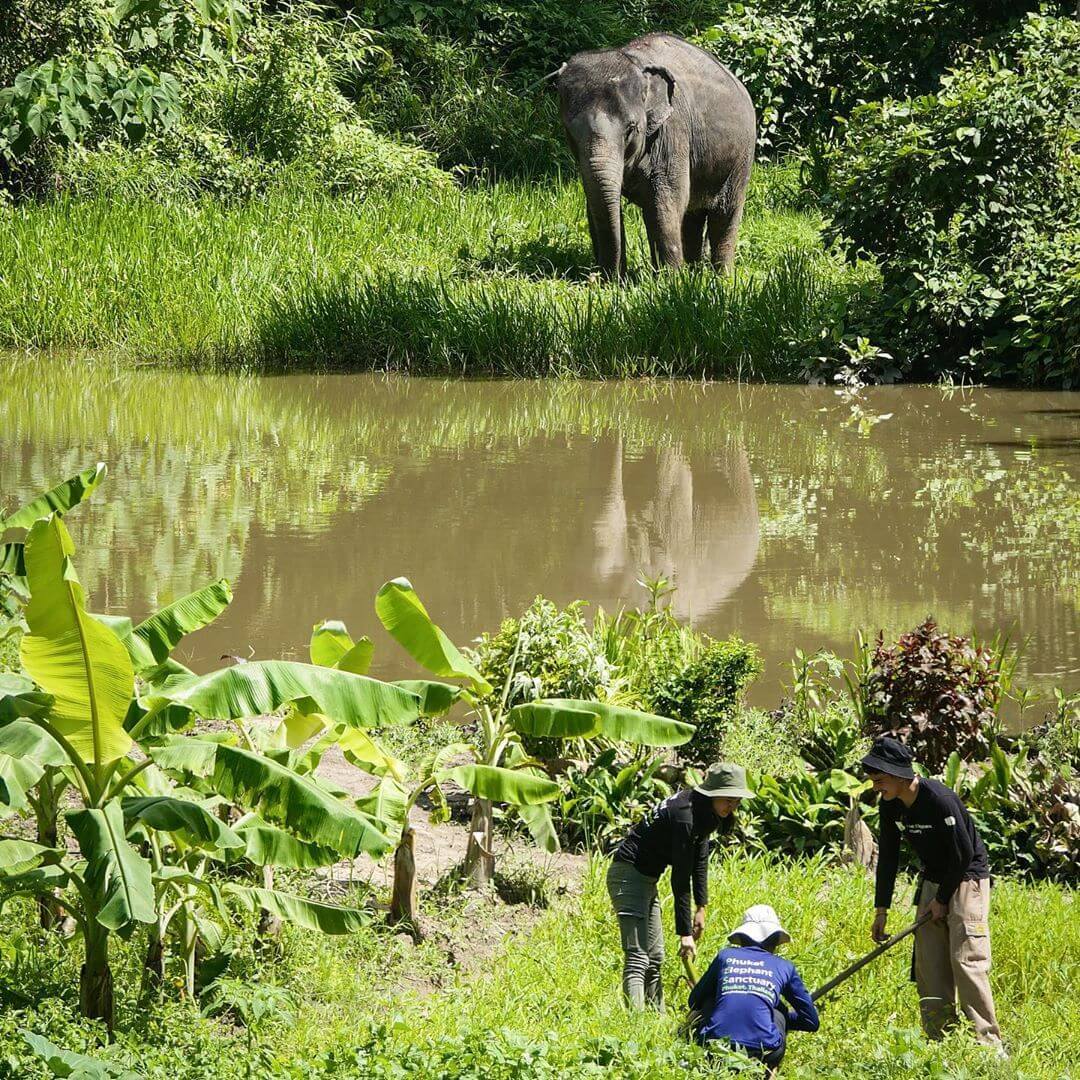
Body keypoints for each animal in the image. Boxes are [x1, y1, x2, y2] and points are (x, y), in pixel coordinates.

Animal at [561, 36, 756, 282]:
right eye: (570, 131)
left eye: (631, 128)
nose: (608, 278)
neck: (634, 61)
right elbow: (595, 202)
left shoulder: (672, 133)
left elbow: (665, 201)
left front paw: (668, 282)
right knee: (692, 216)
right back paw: (694, 273)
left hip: (741, 158)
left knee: (725, 214)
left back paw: (721, 279)